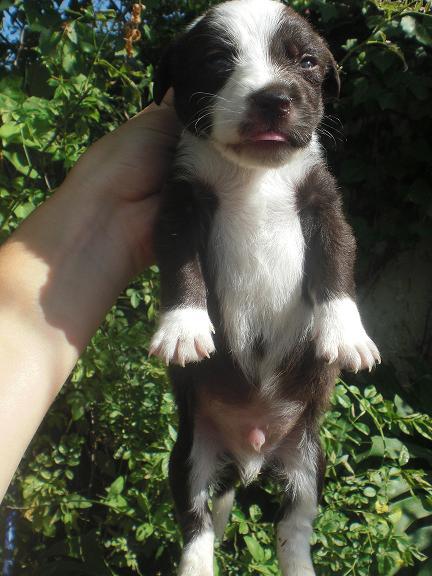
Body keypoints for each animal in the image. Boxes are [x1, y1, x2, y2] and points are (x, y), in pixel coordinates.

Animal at [150, 2, 380, 572]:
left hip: (309, 457)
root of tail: (251, 451)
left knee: (293, 522)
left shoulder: (324, 205)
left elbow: (338, 265)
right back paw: (197, 562)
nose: (274, 97)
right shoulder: (179, 204)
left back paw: (299, 564)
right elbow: (181, 266)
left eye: (306, 61)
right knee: (197, 517)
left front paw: (346, 332)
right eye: (217, 60)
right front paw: (183, 325)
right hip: (191, 450)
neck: (255, 174)